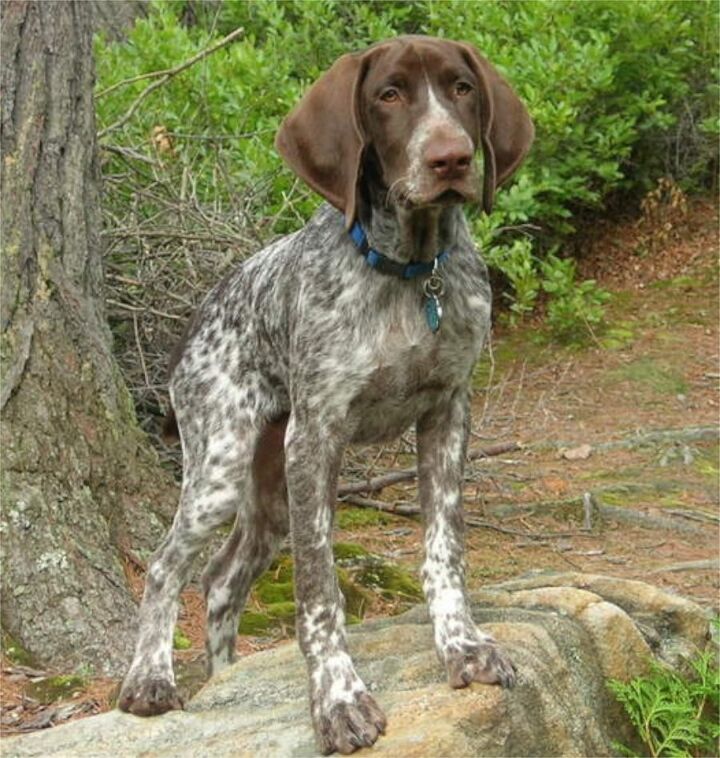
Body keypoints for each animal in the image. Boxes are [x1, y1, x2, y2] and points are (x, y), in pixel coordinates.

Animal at [118, 34, 532, 756]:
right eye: (388, 95)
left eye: (461, 88)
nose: (450, 157)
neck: (408, 271)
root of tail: (197, 318)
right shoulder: (317, 438)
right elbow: (318, 587)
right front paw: (338, 698)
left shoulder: (448, 412)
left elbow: (445, 549)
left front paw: (462, 645)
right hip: (222, 466)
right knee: (168, 566)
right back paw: (150, 681)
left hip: (267, 495)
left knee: (222, 583)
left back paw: (225, 678)